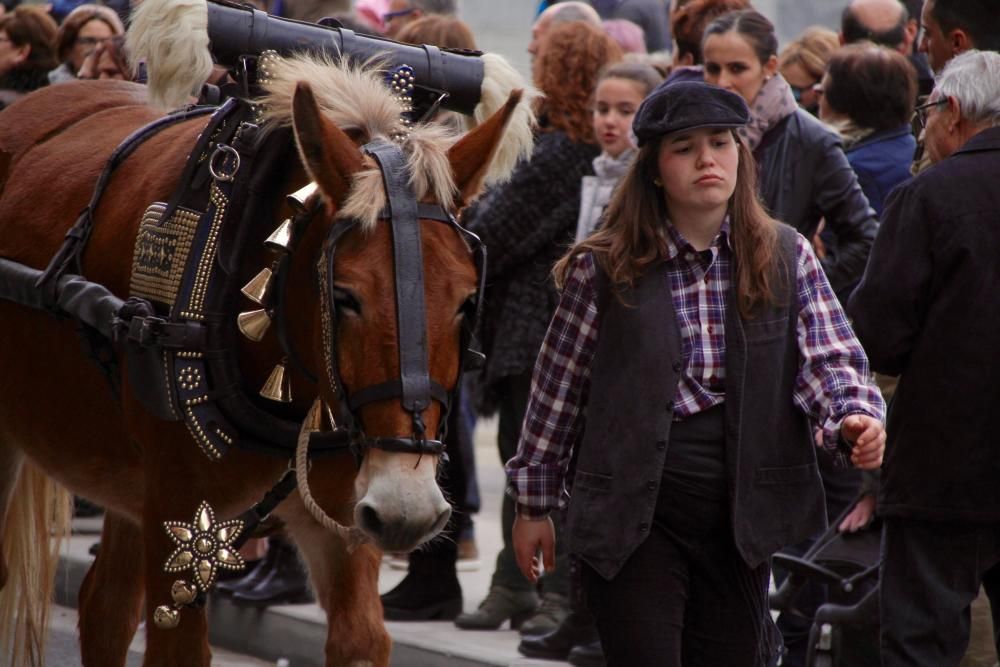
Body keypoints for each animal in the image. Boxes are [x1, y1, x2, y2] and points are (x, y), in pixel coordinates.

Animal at [0, 49, 532, 664]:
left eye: (468, 300)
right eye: (344, 296)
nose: (409, 509)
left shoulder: (347, 526)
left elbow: (360, 637)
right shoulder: (184, 529)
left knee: (105, 607)